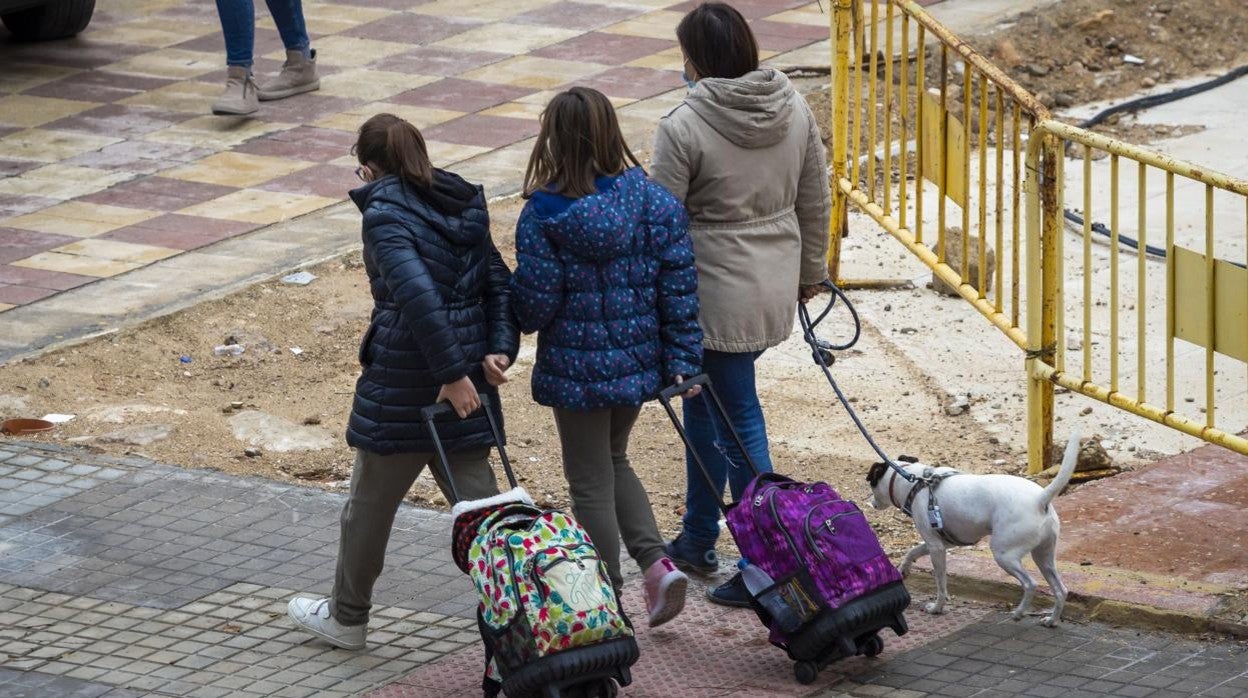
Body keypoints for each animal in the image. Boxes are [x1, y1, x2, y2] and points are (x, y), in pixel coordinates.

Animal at [868, 432, 1083, 629]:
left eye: (872, 482)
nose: (870, 503)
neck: (914, 482)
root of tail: (1040, 499)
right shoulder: (939, 543)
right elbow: (912, 551)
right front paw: (904, 569)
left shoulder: (936, 547)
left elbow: (941, 583)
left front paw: (937, 607)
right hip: (1043, 556)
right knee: (1061, 590)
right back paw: (1052, 620)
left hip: (1004, 555)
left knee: (1031, 584)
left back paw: (1019, 612)